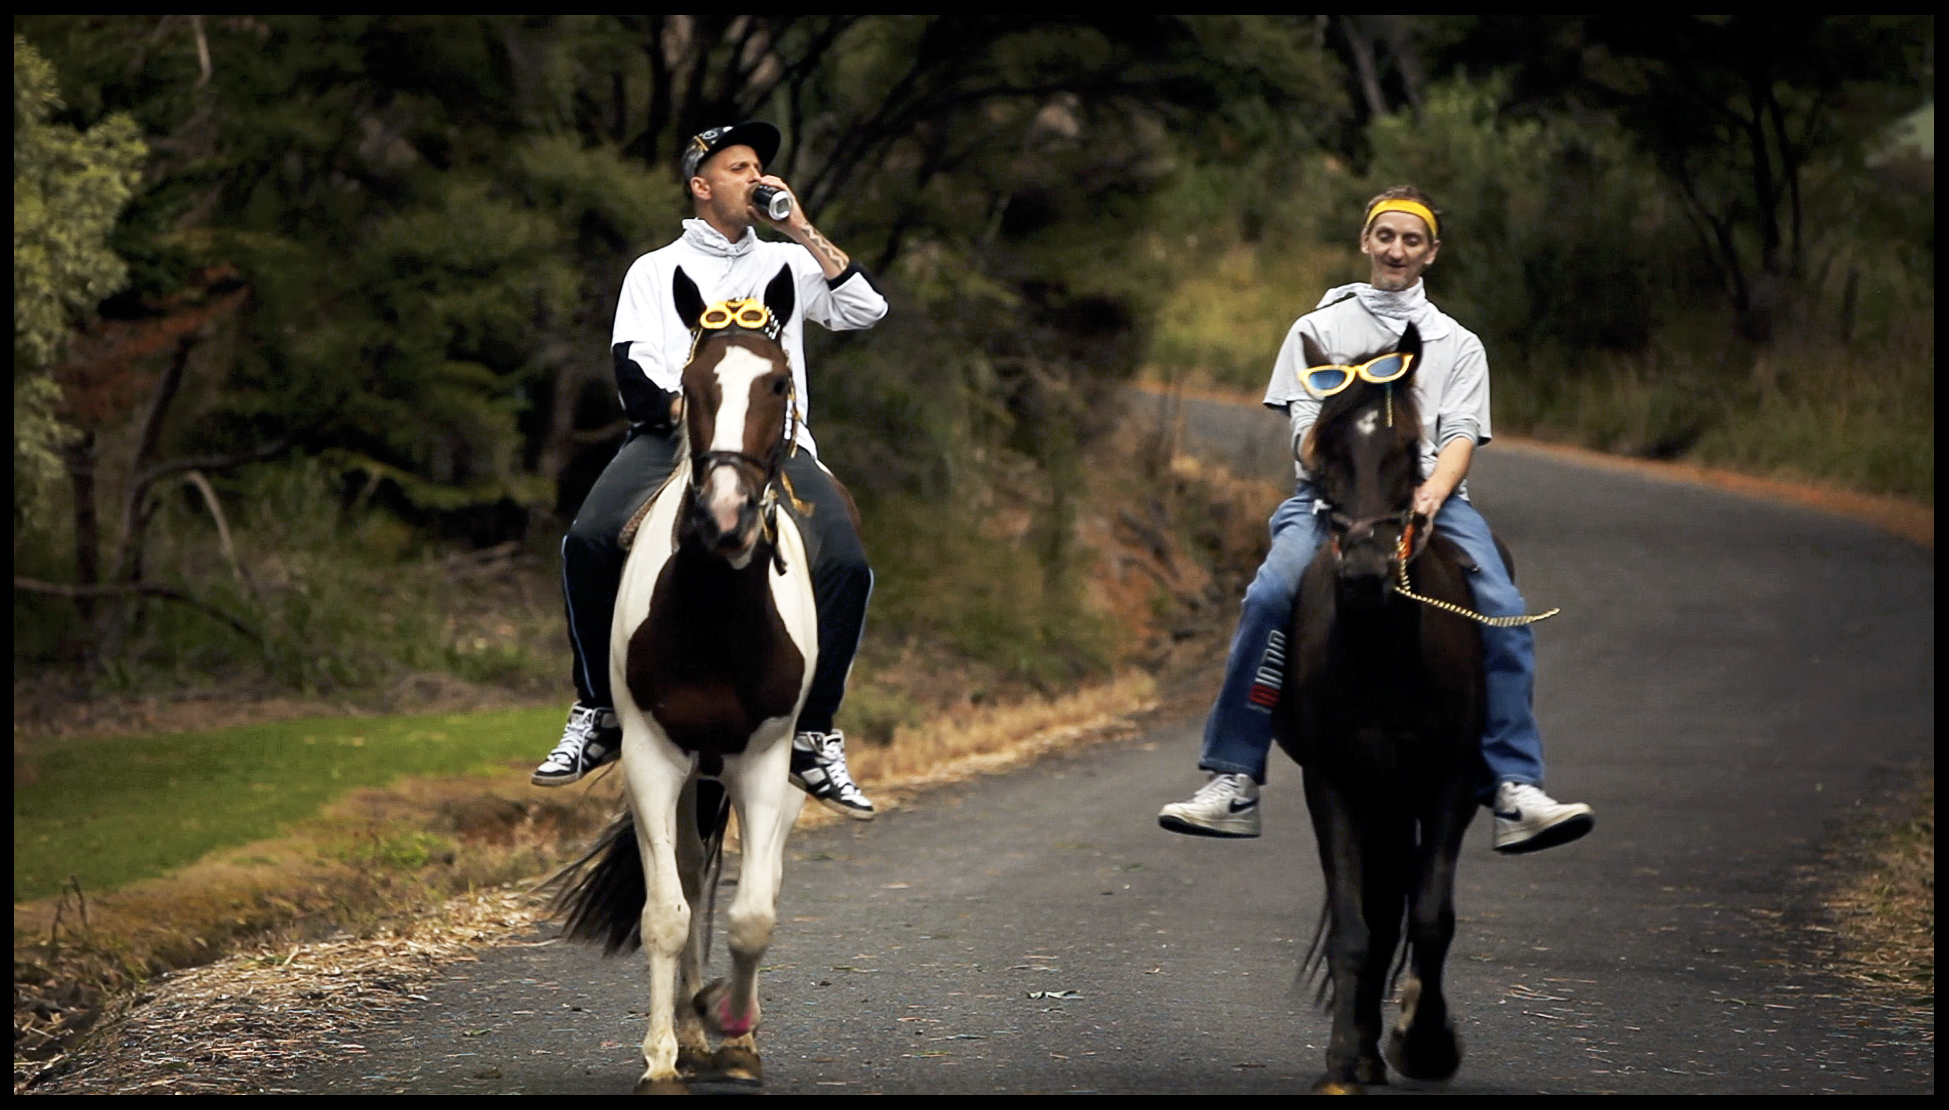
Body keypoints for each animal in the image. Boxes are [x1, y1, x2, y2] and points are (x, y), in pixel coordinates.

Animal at [553, 264, 818, 1090]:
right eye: (693, 384)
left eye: (777, 382)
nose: (724, 520)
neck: (715, 616)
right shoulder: (652, 756)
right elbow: (665, 913)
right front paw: (665, 1053)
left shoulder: (761, 761)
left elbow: (754, 915)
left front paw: (734, 1031)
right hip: (690, 773)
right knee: (695, 868)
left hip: (768, 773)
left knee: (750, 876)